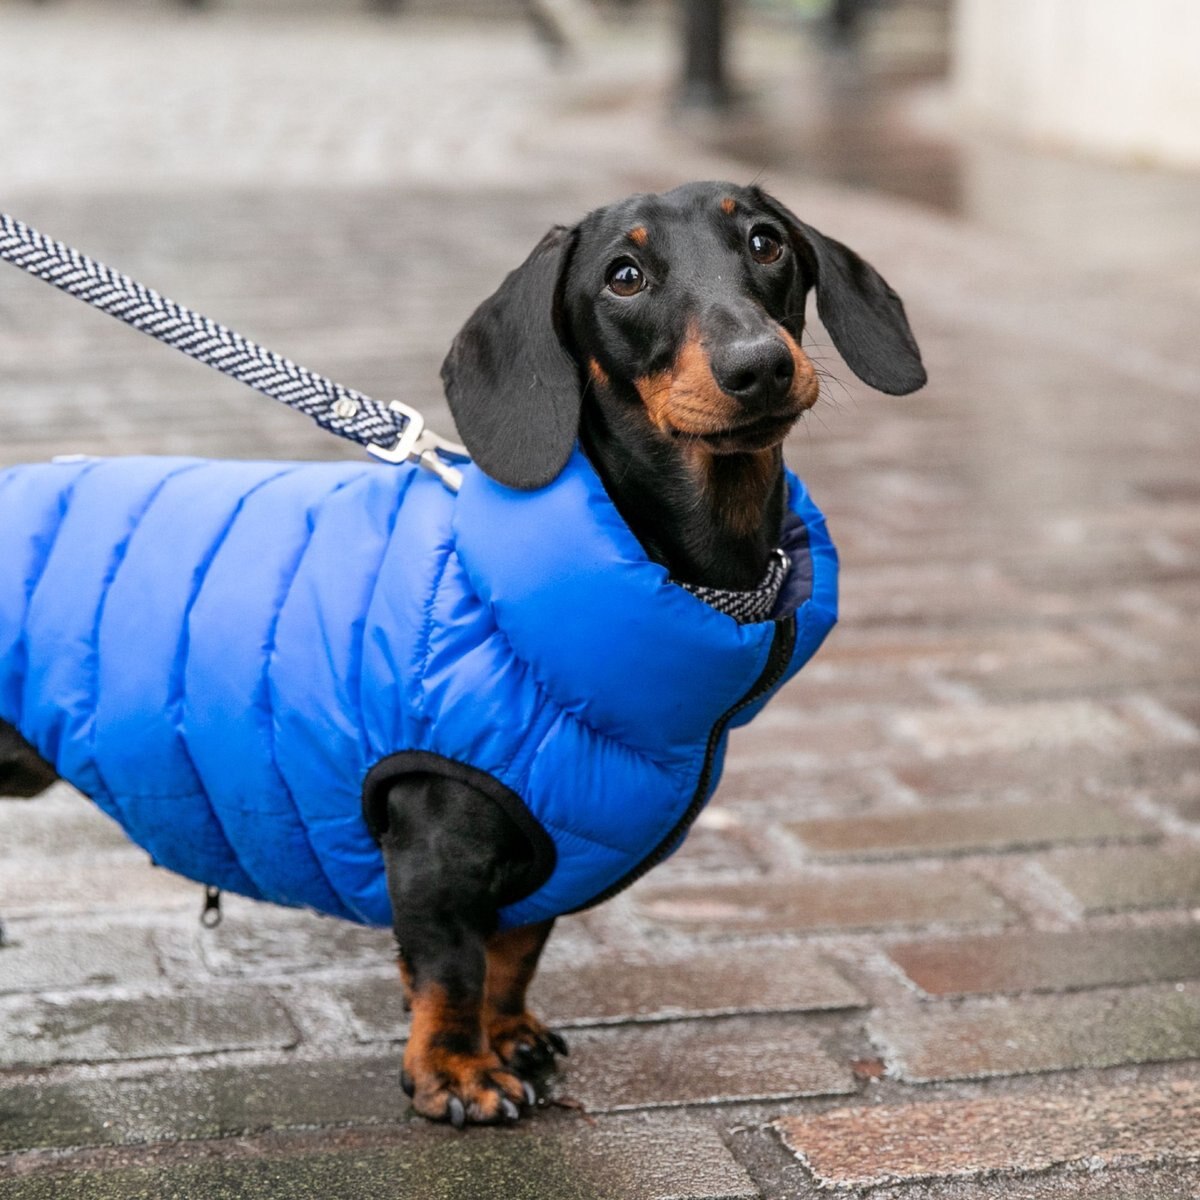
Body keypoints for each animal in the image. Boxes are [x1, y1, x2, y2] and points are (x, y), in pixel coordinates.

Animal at [0, 177, 926, 1123]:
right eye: (624, 276)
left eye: (767, 242)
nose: (759, 365)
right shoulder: (434, 844)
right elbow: (450, 968)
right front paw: (456, 1073)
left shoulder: (553, 852)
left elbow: (513, 953)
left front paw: (507, 1035)